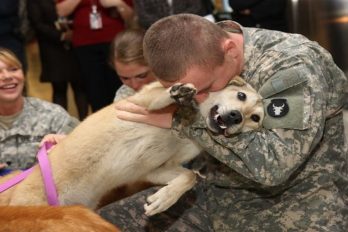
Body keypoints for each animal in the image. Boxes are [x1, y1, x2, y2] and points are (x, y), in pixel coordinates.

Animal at [0, 76, 264, 216]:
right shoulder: (139, 102)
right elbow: (160, 96)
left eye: (255, 118)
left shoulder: (154, 170)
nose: (235, 118)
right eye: (241, 96)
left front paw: (164, 199)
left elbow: (189, 177)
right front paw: (178, 94)